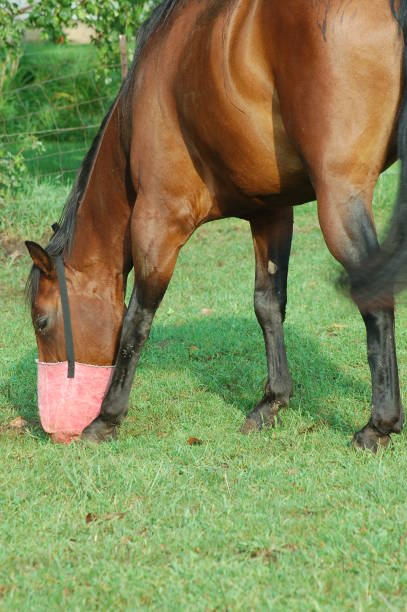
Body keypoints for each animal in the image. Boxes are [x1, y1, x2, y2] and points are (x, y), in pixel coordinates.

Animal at [26, 0, 407, 450]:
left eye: (42, 322)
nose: (53, 430)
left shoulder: (158, 220)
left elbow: (137, 321)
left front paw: (106, 418)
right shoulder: (271, 213)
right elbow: (268, 305)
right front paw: (271, 402)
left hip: (339, 197)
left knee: (376, 298)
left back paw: (378, 425)